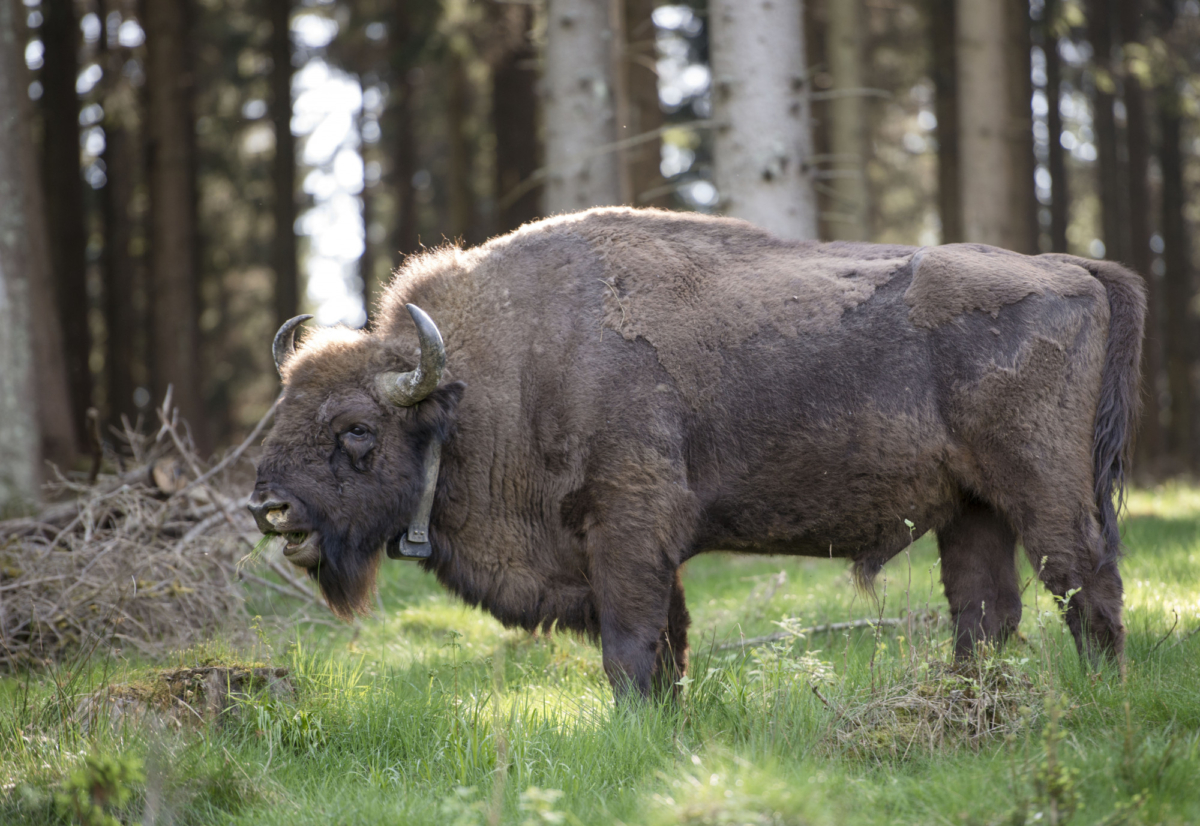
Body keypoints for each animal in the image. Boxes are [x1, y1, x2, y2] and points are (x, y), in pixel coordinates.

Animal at [248, 207, 1144, 699]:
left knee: (1084, 585)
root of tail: (1072, 269)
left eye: (356, 429)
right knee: (986, 611)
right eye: (280, 409)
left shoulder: (628, 534)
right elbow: (668, 647)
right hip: (972, 509)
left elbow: (632, 647)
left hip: (1042, 491)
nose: (268, 506)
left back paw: (1102, 697)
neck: (489, 382)